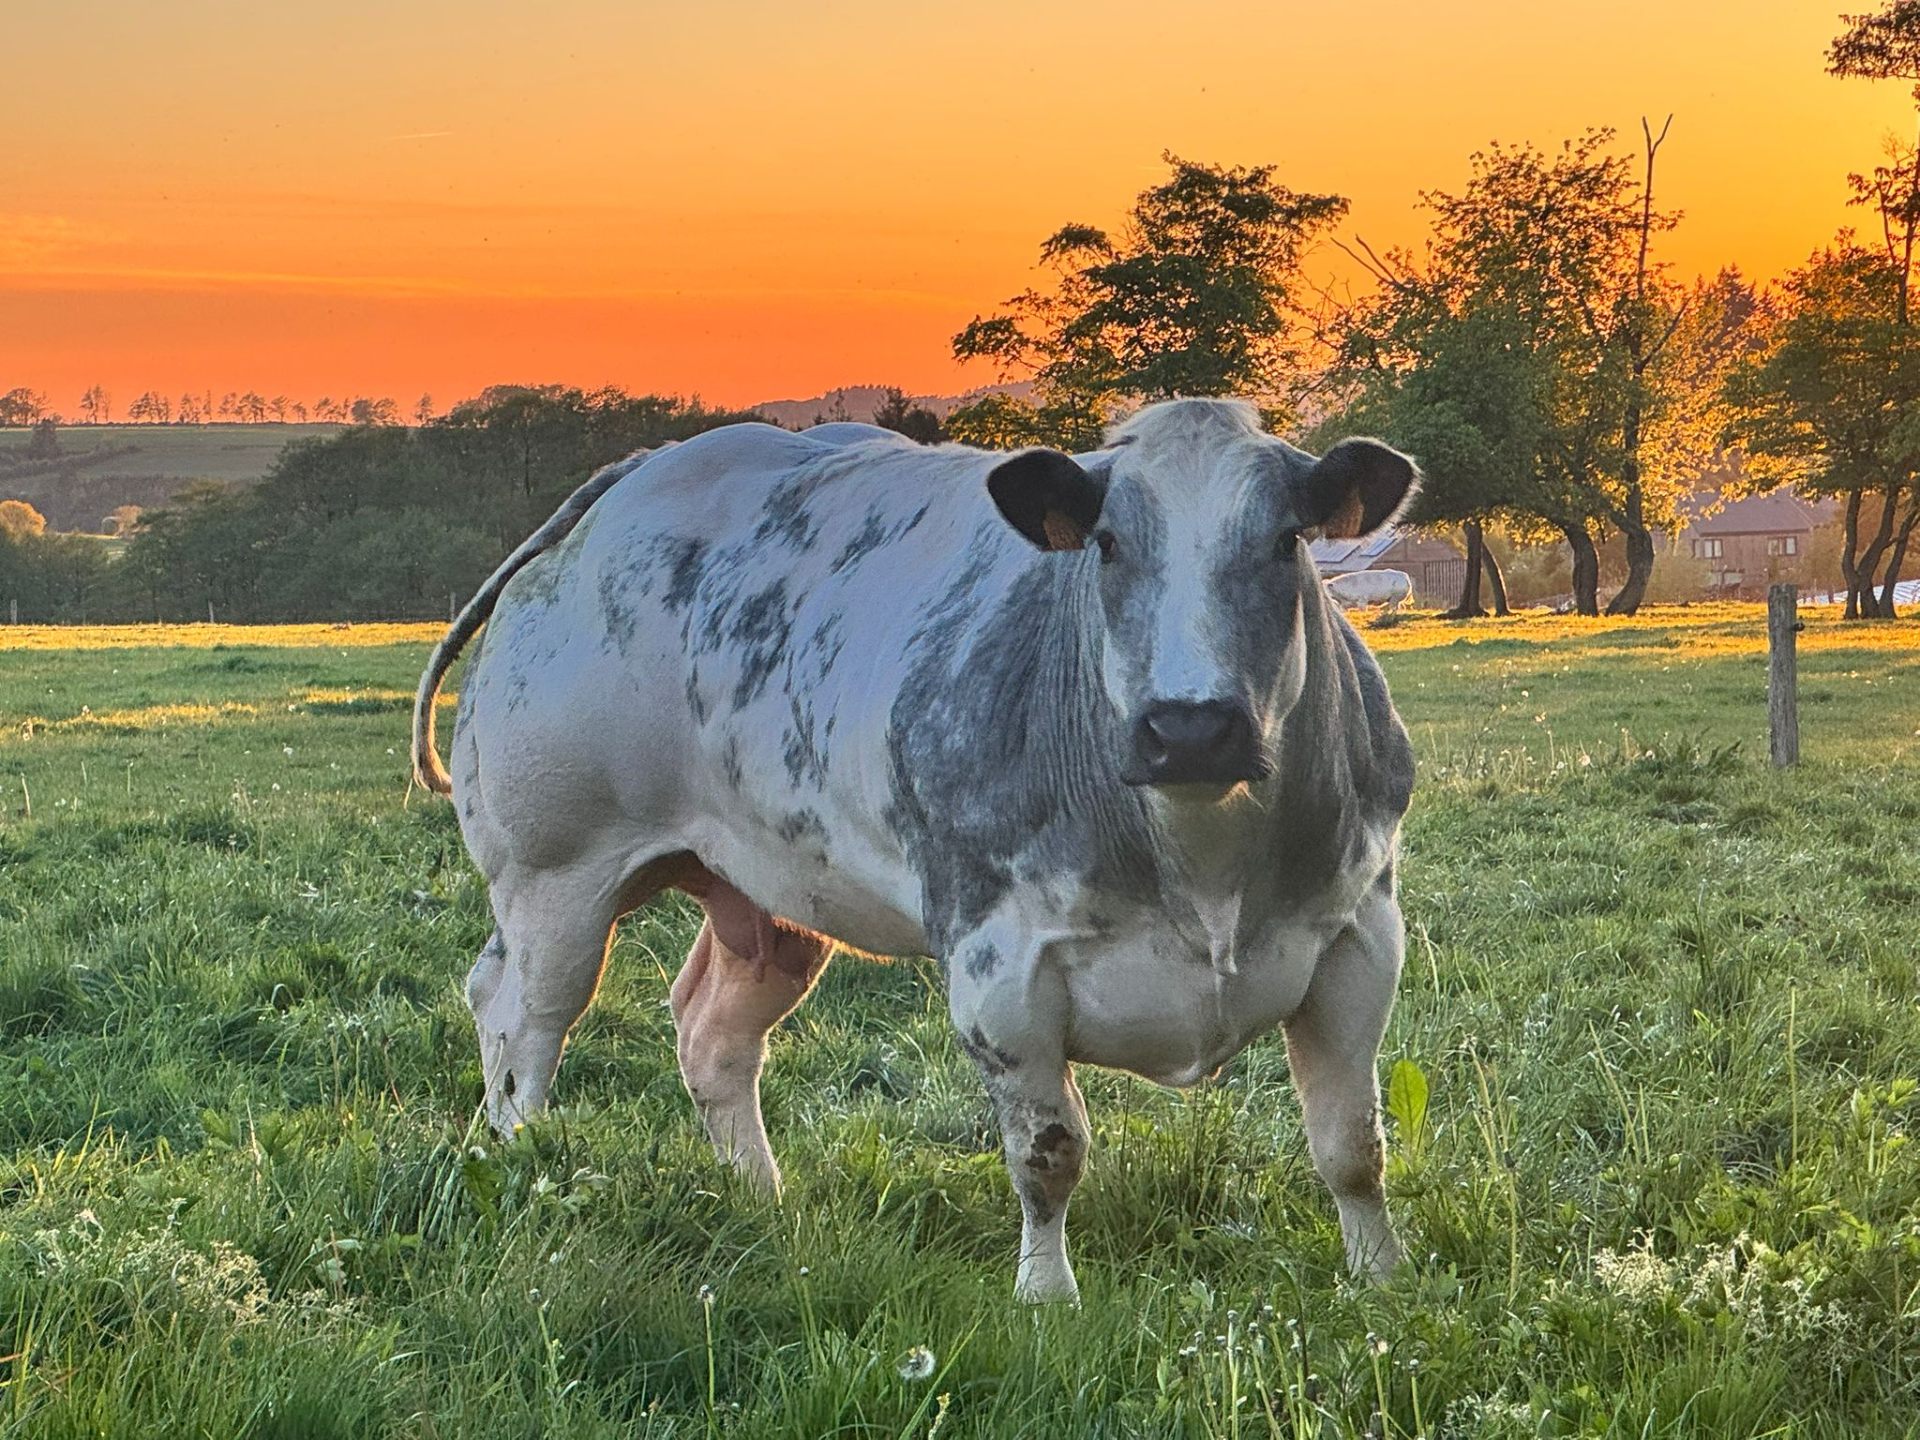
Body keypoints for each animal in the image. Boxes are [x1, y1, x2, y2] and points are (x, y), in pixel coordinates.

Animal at [411, 399, 1419, 1303]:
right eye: (1106, 544)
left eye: (1286, 542)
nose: (1191, 728)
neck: (1204, 865)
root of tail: (638, 474)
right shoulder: (998, 968)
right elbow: (1048, 1153)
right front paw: (1046, 1296)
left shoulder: (1361, 940)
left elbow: (1352, 1145)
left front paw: (1380, 1278)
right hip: (554, 879)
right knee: (520, 1020)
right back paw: (522, 1163)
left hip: (769, 895)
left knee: (712, 1036)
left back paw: (763, 1199)